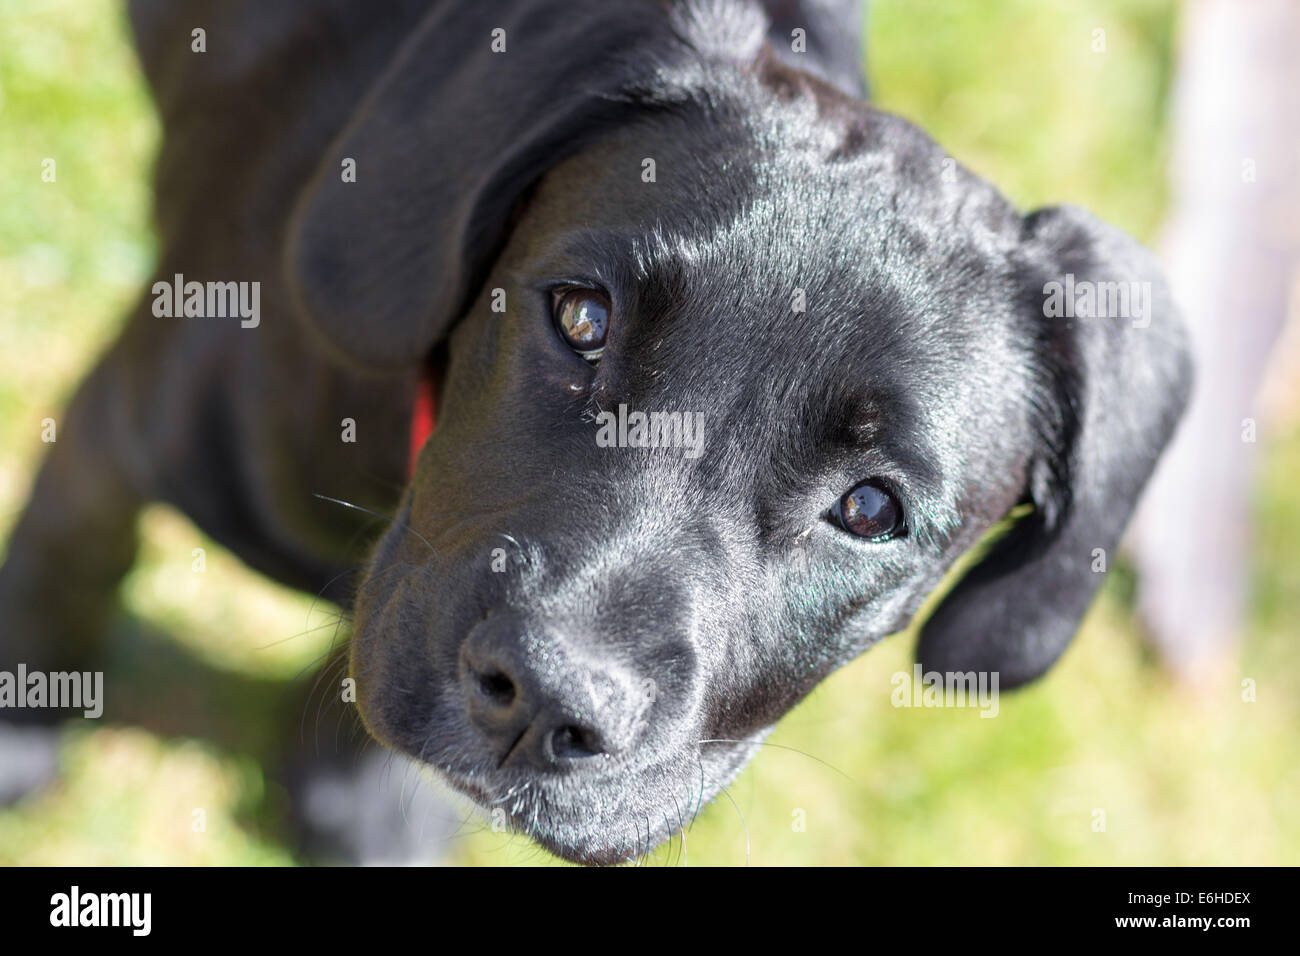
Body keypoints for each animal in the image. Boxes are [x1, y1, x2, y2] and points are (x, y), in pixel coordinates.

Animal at [2, 0, 1190, 868]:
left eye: (870, 509)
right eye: (581, 316)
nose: (542, 702)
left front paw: (367, 815)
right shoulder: (120, 428)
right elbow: (59, 585)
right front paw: (19, 746)